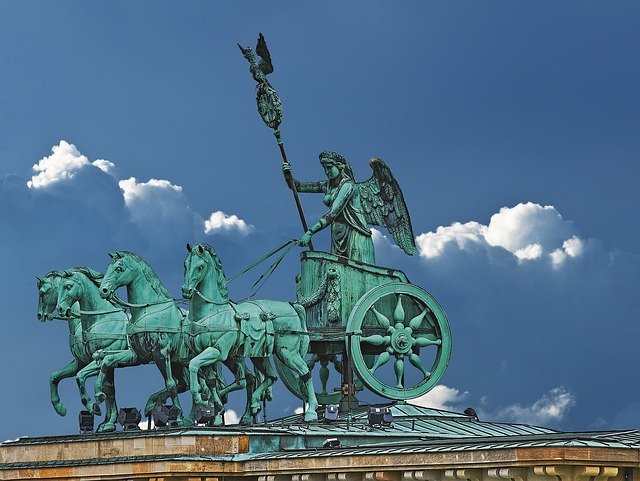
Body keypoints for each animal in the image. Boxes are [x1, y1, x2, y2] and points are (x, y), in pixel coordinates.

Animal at [55, 266, 131, 432]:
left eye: (68, 286)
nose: (60, 309)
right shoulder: (87, 361)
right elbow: (55, 376)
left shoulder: (102, 360)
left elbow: (82, 377)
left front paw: (95, 406)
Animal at [182, 244, 318, 424]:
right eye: (185, 265)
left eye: (199, 267)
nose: (186, 290)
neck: (210, 312)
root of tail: (292, 305)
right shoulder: (205, 355)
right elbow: (210, 382)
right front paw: (217, 414)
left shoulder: (217, 352)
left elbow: (193, 365)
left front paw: (199, 396)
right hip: (258, 356)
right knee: (270, 376)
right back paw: (253, 403)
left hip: (287, 353)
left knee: (304, 372)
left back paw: (311, 411)